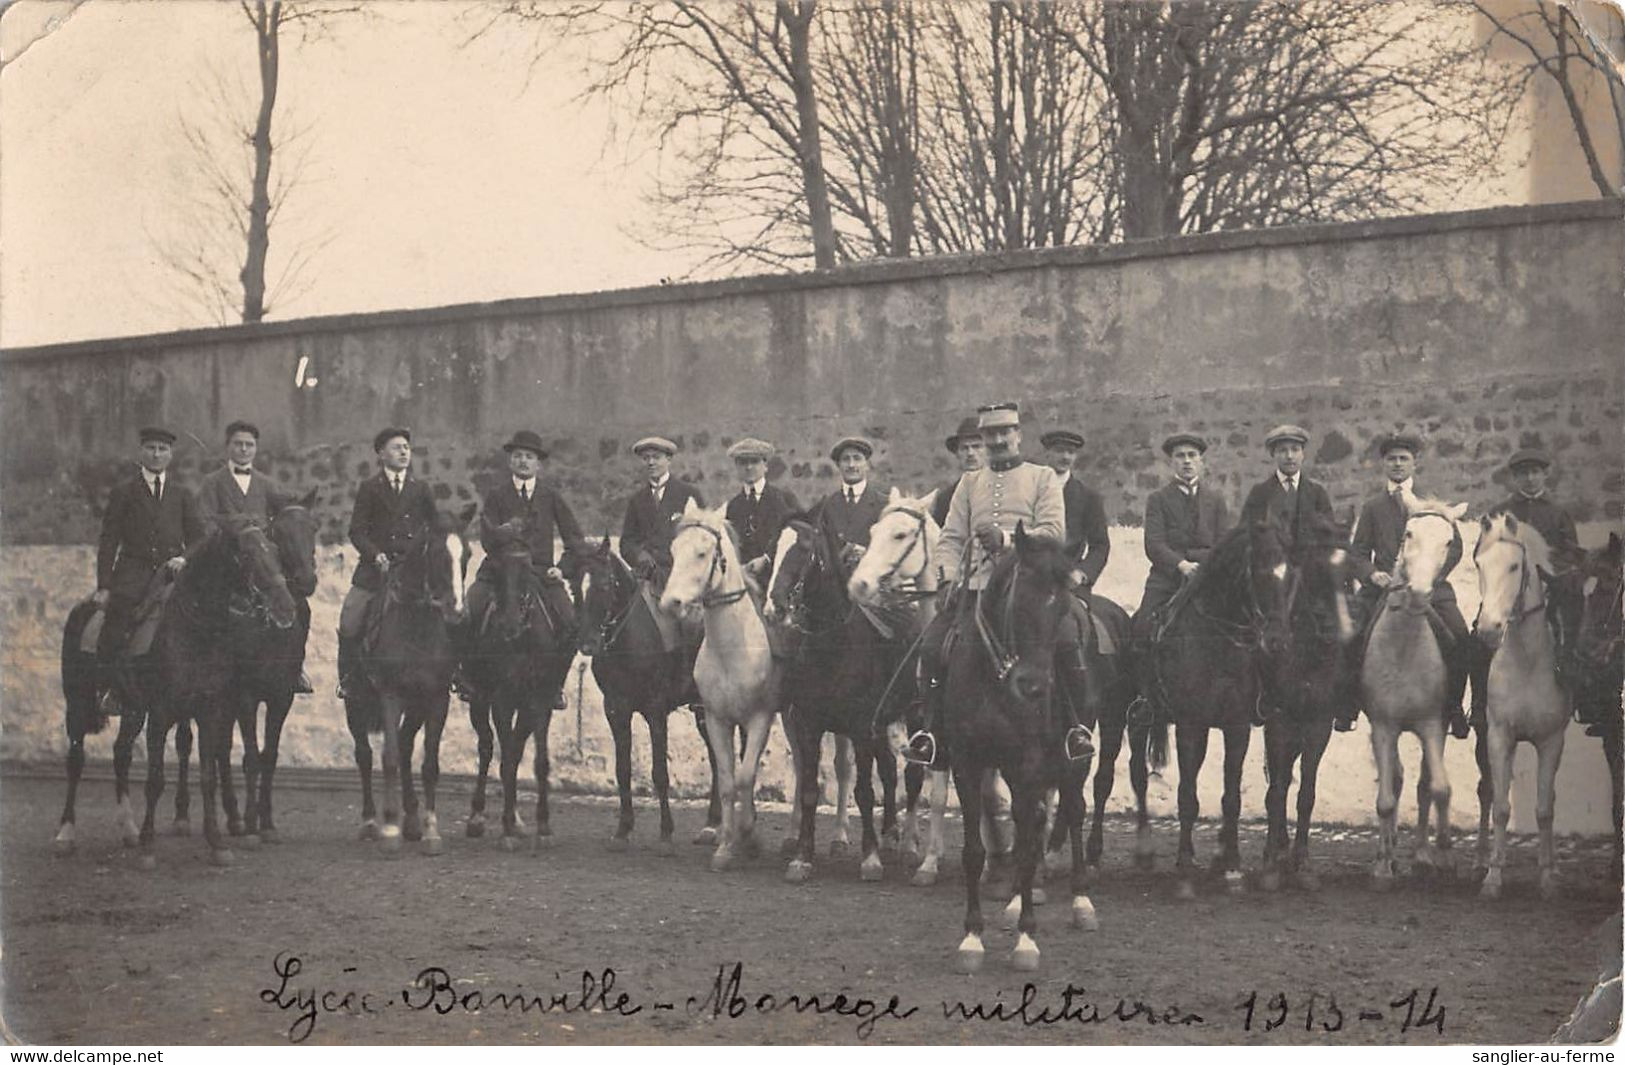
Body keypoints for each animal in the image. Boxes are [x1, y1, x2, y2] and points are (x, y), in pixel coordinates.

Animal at [342, 507, 471, 858]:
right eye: (438, 554)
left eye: (467, 554)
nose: (457, 610)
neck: (417, 622)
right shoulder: (390, 694)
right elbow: (386, 758)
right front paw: (389, 830)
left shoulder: (436, 698)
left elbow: (429, 764)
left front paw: (431, 832)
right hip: (354, 704)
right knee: (365, 754)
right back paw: (371, 822)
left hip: (416, 707)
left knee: (404, 745)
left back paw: (411, 820)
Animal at [663, 504, 783, 871]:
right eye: (673, 551)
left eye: (702, 553)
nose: (670, 603)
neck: (733, 648)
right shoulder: (717, 720)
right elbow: (730, 781)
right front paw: (726, 847)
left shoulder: (761, 718)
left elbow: (745, 777)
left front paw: (750, 836)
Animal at [1365, 494, 1469, 884]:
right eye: (1408, 534)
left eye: (1449, 542)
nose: (1420, 595)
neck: (1404, 646)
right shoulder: (1383, 726)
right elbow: (1385, 797)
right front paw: (1383, 864)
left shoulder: (1431, 725)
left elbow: (1438, 788)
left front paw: (1443, 854)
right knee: (1394, 780)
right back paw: (1389, 848)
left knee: (1424, 785)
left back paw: (1423, 852)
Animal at [1475, 513, 1573, 904]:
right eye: (1479, 564)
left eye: (1515, 566)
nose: (1488, 630)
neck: (1526, 660)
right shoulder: (1499, 737)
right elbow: (1501, 807)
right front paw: (1492, 878)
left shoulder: (1551, 741)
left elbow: (1545, 810)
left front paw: (1547, 879)